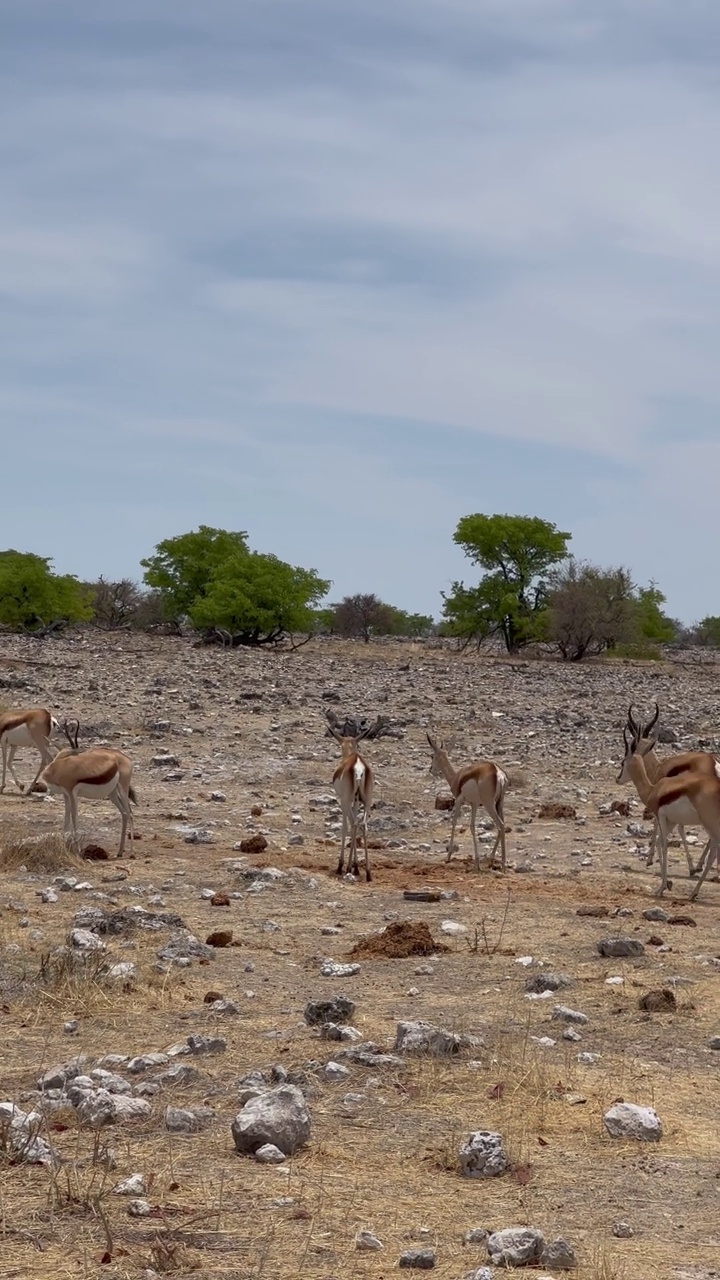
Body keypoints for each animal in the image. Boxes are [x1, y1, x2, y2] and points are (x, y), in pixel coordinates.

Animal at [40, 721, 137, 860]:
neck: (58, 767)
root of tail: (126, 759)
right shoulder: (66, 795)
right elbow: (66, 819)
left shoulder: (72, 792)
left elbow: (74, 817)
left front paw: (78, 850)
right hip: (112, 793)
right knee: (124, 813)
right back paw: (120, 852)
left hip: (122, 789)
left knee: (130, 814)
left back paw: (132, 853)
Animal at [326, 711, 381, 880]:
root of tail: (358, 765)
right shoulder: (356, 801)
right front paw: (356, 866)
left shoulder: (343, 801)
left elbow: (345, 827)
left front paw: (342, 865)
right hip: (368, 801)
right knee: (363, 825)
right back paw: (368, 873)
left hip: (346, 800)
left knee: (353, 824)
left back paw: (349, 867)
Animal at [422, 732, 507, 870]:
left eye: (432, 756)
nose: (431, 769)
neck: (456, 778)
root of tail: (497, 772)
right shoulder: (474, 804)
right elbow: (472, 826)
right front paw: (477, 862)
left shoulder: (459, 799)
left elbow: (454, 822)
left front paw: (448, 857)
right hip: (499, 803)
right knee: (502, 825)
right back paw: (491, 860)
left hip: (489, 804)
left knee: (501, 825)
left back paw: (502, 865)